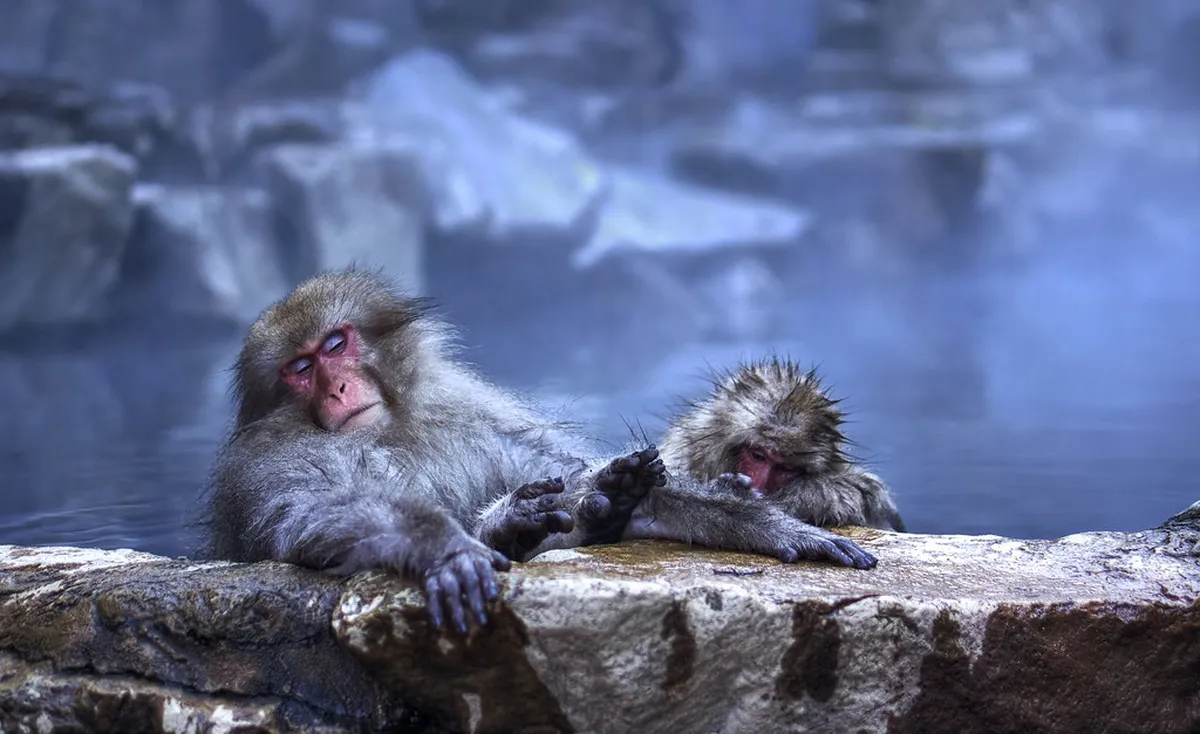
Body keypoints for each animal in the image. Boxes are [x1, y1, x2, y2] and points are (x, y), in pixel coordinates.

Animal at [203, 268, 670, 636]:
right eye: (300, 369)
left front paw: (603, 492)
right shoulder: (266, 460)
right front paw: (448, 547)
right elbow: (316, 507)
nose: (337, 389)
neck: (385, 432)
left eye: (335, 344)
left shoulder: (467, 410)